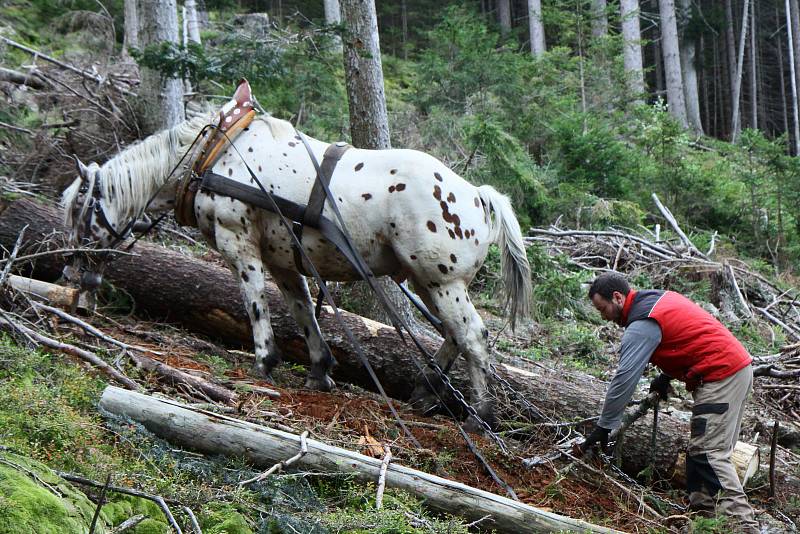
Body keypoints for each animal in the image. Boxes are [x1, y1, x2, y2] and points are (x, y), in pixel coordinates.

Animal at [64, 79, 532, 432]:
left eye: (78, 210)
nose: (71, 272)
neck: (214, 151)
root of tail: (478, 194)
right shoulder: (283, 260)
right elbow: (303, 310)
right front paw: (319, 369)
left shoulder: (240, 244)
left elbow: (255, 303)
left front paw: (264, 361)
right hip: (426, 280)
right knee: (453, 335)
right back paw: (425, 390)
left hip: (442, 280)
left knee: (473, 336)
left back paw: (480, 416)